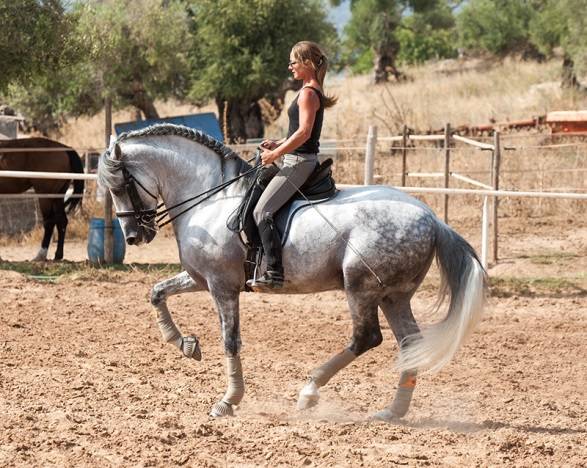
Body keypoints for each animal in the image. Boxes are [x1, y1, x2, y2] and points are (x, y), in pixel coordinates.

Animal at [99, 125, 490, 420]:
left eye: (121, 186)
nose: (133, 237)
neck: (211, 198)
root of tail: (432, 218)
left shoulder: (221, 286)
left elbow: (230, 340)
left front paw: (228, 401)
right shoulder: (200, 279)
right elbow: (157, 292)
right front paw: (186, 345)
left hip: (361, 288)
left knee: (366, 338)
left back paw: (310, 391)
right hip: (393, 295)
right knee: (409, 342)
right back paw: (392, 411)